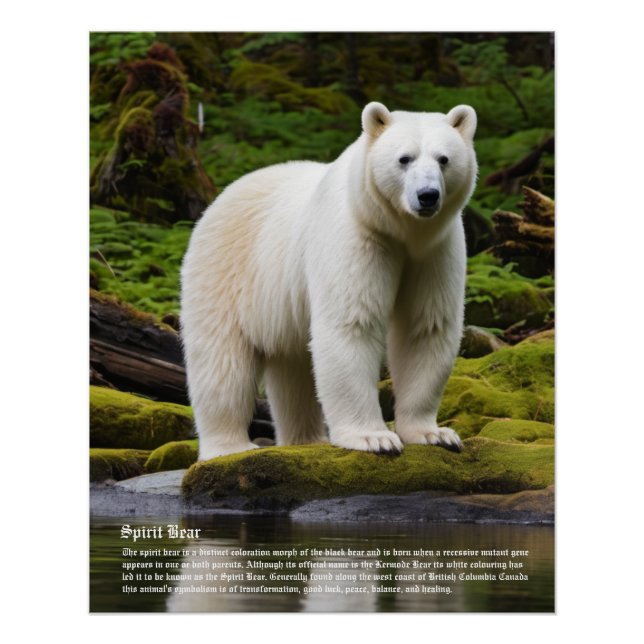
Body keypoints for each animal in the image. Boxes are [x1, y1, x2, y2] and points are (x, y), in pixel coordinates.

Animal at [180, 101, 477, 460]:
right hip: (227, 271)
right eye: (404, 158)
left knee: (293, 366)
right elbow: (352, 323)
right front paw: (375, 438)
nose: (428, 195)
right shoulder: (358, 235)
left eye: (444, 159)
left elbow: (425, 327)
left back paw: (307, 439)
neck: (399, 229)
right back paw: (230, 446)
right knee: (222, 360)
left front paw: (435, 433)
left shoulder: (435, 250)